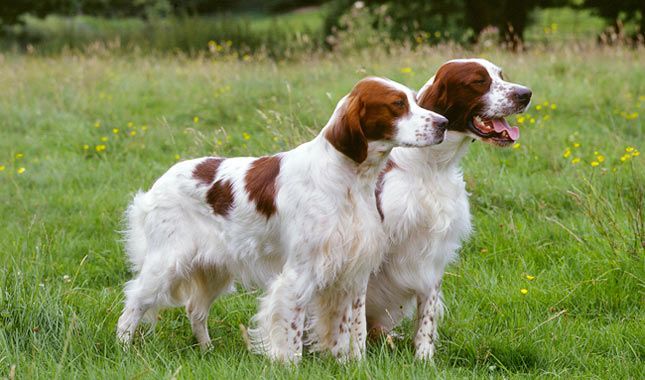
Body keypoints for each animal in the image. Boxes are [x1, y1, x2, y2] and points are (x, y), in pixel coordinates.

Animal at [115, 76, 448, 362]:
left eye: (415, 100)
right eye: (397, 104)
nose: (443, 123)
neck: (348, 179)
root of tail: (158, 184)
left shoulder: (353, 273)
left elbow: (353, 330)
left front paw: (352, 364)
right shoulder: (299, 273)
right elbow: (292, 332)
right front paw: (290, 364)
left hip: (213, 269)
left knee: (195, 309)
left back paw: (207, 349)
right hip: (166, 263)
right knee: (133, 303)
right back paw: (123, 349)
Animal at [364, 58, 532, 360]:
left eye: (501, 75)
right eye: (478, 81)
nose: (526, 94)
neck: (431, 165)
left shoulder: (433, 252)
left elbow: (427, 316)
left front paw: (424, 358)